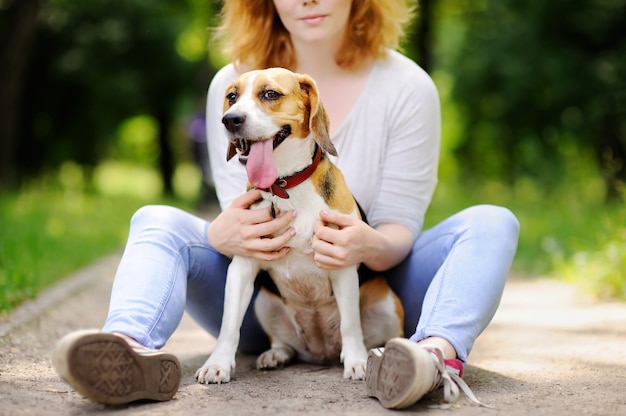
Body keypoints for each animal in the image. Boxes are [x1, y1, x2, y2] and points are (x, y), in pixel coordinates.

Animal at [193, 68, 402, 384]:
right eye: (232, 96)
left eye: (270, 94)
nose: (230, 119)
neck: (285, 187)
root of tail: (321, 352)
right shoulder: (242, 268)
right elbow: (228, 325)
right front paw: (217, 364)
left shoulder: (341, 264)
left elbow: (351, 324)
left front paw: (356, 361)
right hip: (264, 303)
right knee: (285, 343)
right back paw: (275, 354)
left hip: (388, 305)